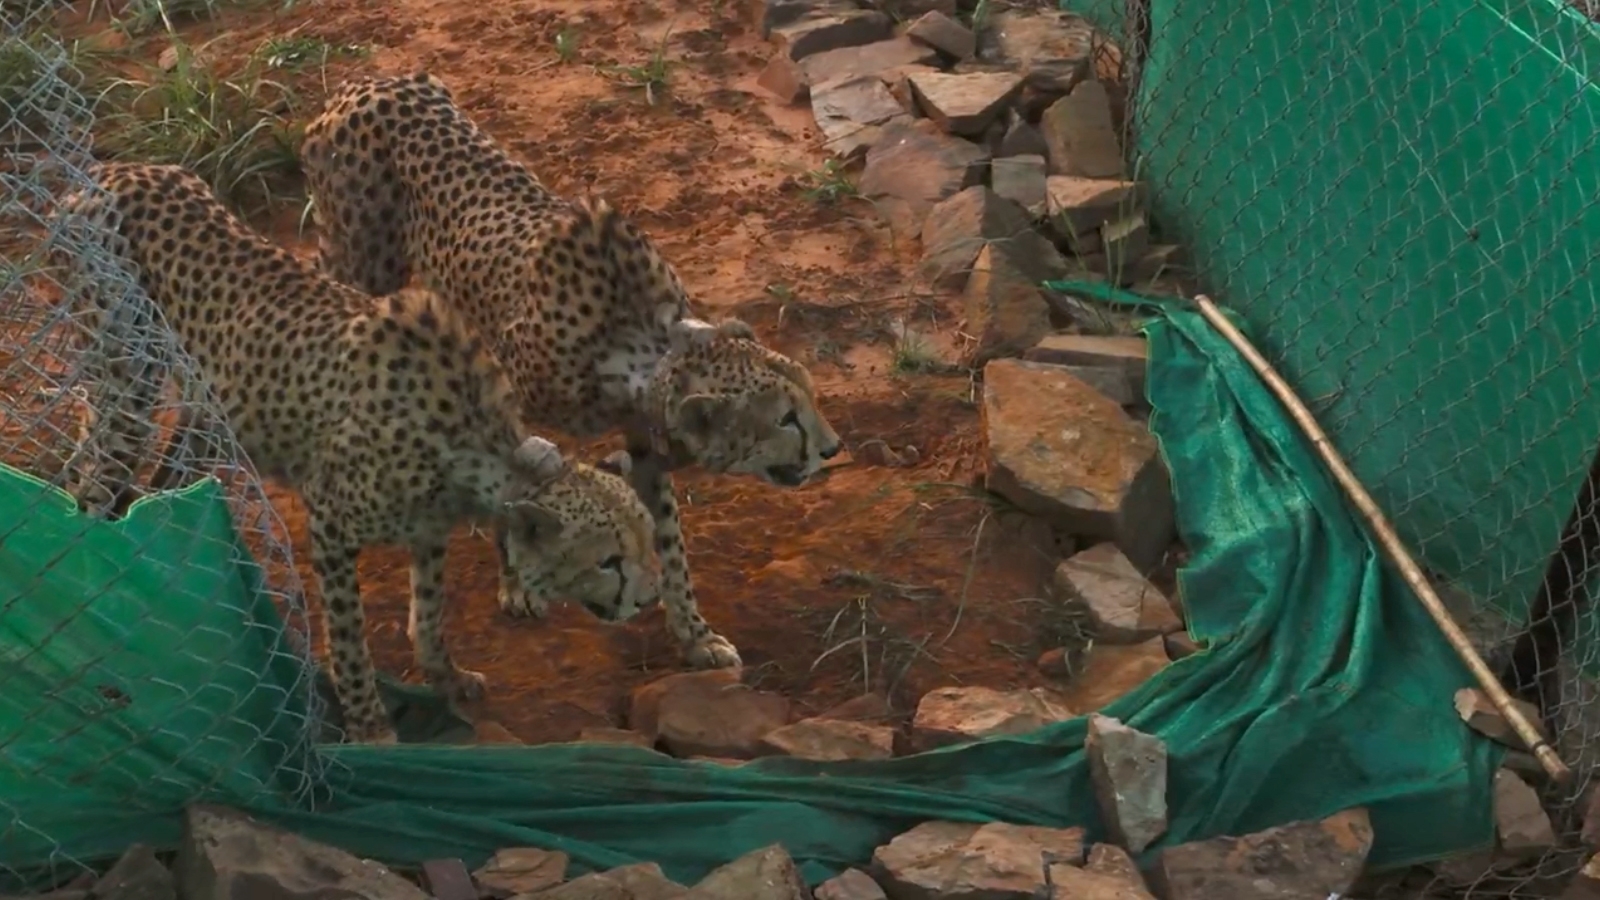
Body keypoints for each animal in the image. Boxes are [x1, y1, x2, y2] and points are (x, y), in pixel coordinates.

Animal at [55, 161, 663, 744]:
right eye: (607, 562)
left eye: (646, 542)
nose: (649, 599)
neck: (470, 445)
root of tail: (110, 172)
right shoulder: (330, 527)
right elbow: (349, 640)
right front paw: (371, 726)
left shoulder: (428, 529)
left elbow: (430, 615)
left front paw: (447, 680)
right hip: (129, 381)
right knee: (97, 476)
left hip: (205, 399)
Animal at [299, 71, 844, 671]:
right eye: (785, 419)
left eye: (811, 396)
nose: (833, 448)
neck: (638, 343)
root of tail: (368, 81)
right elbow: (514, 501)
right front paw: (515, 583)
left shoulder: (644, 437)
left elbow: (669, 540)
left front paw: (695, 634)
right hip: (361, 262)